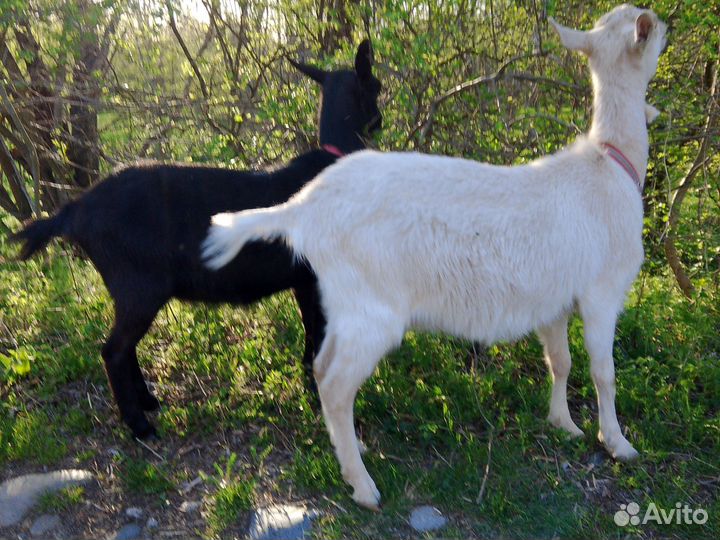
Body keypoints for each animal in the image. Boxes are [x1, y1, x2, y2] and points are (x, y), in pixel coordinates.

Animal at [12, 40, 382, 440]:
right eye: (376, 85)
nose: (379, 121)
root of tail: (75, 210)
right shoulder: (316, 276)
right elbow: (318, 332)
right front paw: (320, 394)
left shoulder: (302, 279)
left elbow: (310, 331)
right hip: (139, 286)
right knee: (113, 351)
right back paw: (140, 425)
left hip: (130, 290)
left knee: (124, 349)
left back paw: (148, 401)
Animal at [203, 6, 667, 509]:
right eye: (647, 24)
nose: (668, 25)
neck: (609, 163)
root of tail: (303, 207)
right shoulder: (603, 290)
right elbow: (604, 372)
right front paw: (618, 443)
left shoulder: (556, 298)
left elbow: (559, 361)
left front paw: (563, 423)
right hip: (372, 307)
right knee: (334, 383)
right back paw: (363, 486)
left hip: (344, 302)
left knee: (322, 367)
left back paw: (352, 449)